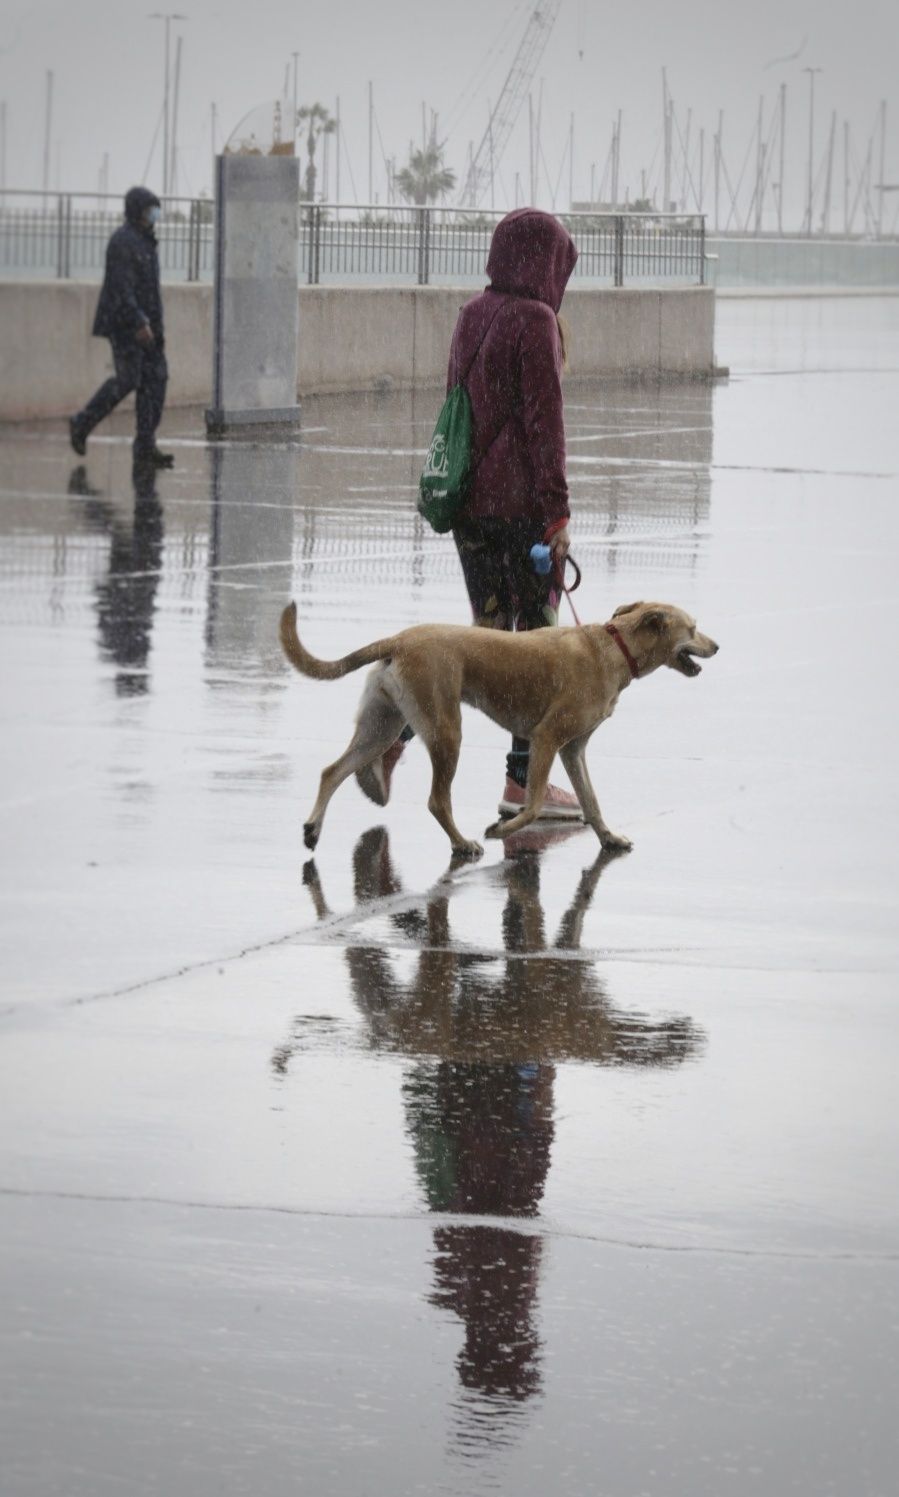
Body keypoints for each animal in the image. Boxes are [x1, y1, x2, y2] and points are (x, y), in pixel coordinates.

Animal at [281, 595, 715, 856]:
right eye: (693, 629)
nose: (717, 646)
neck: (612, 648)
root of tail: (399, 640)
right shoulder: (546, 738)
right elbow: (535, 802)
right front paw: (505, 830)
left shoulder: (573, 749)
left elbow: (591, 801)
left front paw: (608, 836)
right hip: (446, 732)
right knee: (437, 800)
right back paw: (462, 842)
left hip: (381, 728)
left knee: (332, 771)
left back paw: (313, 828)